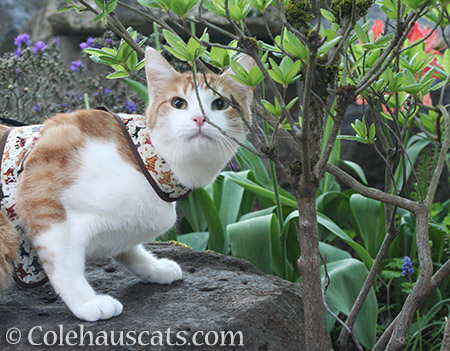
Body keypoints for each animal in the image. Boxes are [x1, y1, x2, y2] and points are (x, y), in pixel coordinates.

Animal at [0, 48, 253, 324]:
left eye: (220, 104)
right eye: (179, 103)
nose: (199, 118)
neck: (149, 162)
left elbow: (129, 248)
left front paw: (154, 268)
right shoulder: (41, 192)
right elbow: (64, 263)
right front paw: (86, 301)